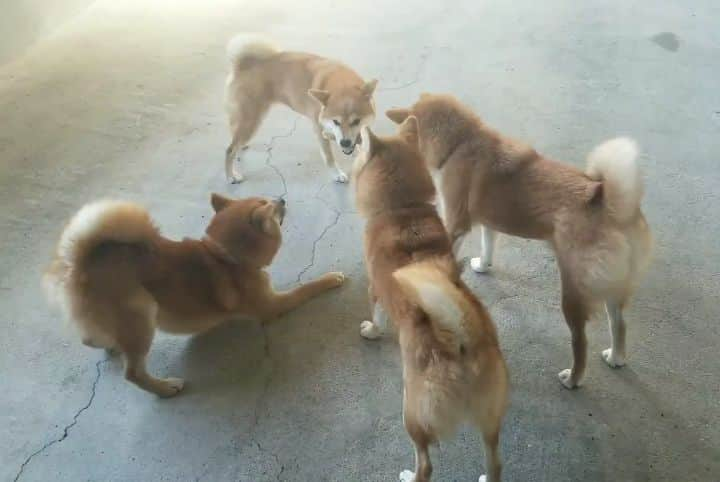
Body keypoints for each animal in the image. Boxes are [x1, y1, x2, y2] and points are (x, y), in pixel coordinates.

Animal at [44, 194, 346, 398]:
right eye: (270, 206)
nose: (281, 198)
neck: (226, 256)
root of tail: (80, 262)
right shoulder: (272, 305)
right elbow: (306, 287)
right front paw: (330, 279)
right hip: (142, 313)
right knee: (133, 373)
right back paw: (164, 388)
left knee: (90, 339)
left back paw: (111, 345)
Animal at [224, 34, 376, 185]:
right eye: (335, 122)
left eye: (356, 121)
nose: (345, 142)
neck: (340, 83)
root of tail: (243, 65)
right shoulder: (319, 129)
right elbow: (329, 157)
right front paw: (337, 174)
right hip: (251, 120)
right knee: (229, 150)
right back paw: (231, 175)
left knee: (235, 134)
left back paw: (241, 146)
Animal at [352, 117, 510, 482]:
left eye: (360, 147)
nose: (349, 147)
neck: (402, 208)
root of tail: (461, 342)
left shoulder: (375, 288)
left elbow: (377, 315)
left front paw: (371, 330)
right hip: (490, 421)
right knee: (495, 461)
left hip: (412, 414)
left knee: (425, 465)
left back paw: (409, 476)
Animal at [388, 93, 652, 388]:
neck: (459, 143)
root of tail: (613, 205)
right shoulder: (487, 221)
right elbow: (487, 245)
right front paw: (482, 266)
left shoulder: (456, 224)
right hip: (612, 289)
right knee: (619, 324)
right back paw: (616, 357)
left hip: (572, 294)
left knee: (580, 341)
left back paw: (573, 378)